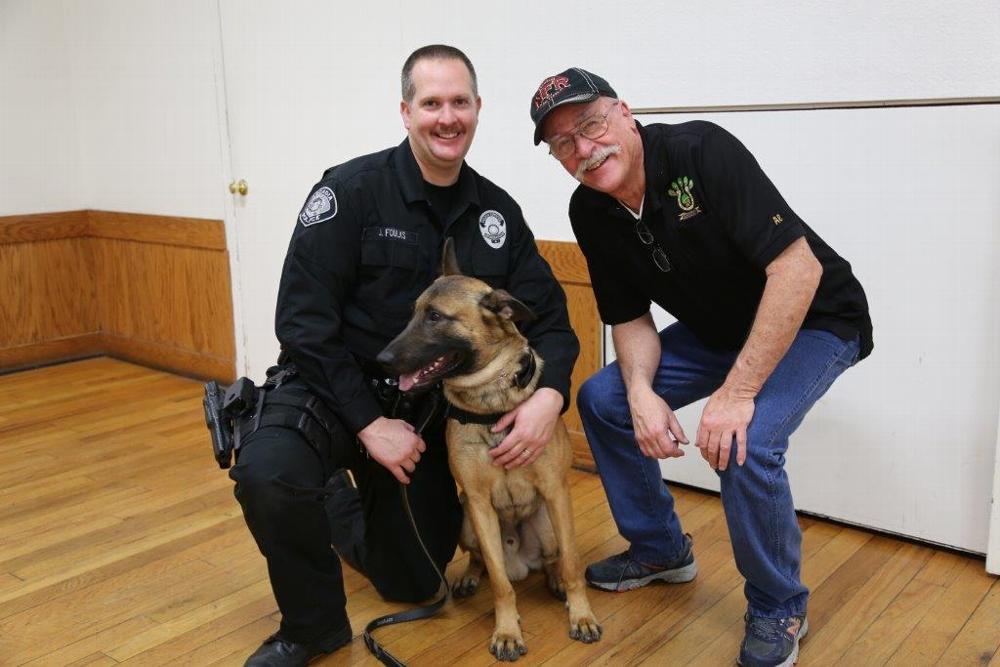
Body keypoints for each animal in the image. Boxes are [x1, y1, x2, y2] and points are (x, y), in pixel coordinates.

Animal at [376, 240, 600, 664]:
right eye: (413, 312)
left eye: (435, 316)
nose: (381, 361)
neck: (490, 400)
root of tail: (520, 560)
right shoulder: (479, 503)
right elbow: (499, 584)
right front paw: (508, 631)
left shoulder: (555, 492)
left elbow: (574, 564)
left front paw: (581, 615)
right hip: (467, 521)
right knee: (485, 560)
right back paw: (468, 576)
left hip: (548, 524)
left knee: (554, 559)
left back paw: (555, 581)